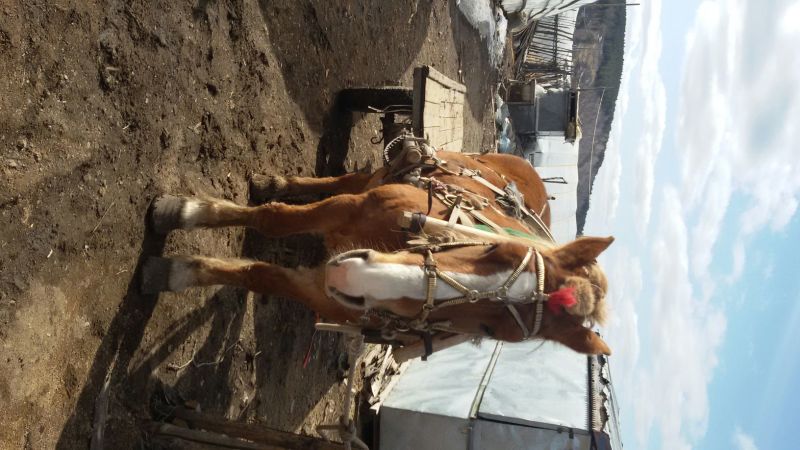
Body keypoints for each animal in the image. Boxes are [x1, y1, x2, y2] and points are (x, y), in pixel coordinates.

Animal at [141, 150, 614, 357]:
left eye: (491, 330)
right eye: (497, 246)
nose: (354, 277)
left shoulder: (321, 291)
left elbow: (261, 276)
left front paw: (178, 271)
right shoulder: (349, 208)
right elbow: (273, 219)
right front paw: (184, 211)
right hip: (379, 176)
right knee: (344, 180)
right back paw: (277, 183)